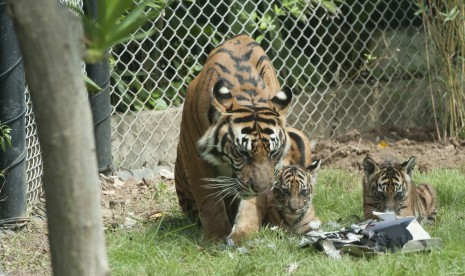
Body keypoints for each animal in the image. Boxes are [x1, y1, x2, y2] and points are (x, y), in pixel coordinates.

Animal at [174, 34, 290, 240]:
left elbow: (252, 203)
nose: (262, 188)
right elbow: (209, 199)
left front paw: (243, 234)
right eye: (242, 153)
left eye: (273, 153)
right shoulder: (194, 156)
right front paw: (216, 236)